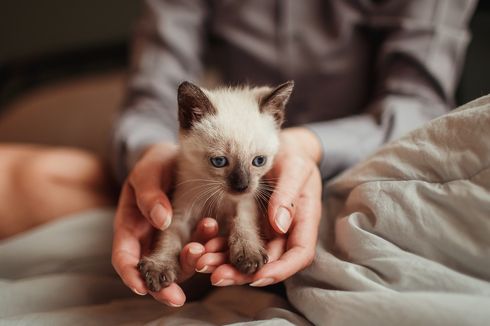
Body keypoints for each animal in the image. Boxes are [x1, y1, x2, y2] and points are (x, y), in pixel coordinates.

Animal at [136, 80, 292, 292]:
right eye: (219, 161)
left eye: (259, 161)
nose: (241, 186)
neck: (218, 198)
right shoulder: (181, 212)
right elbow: (169, 238)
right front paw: (159, 266)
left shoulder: (245, 202)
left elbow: (244, 222)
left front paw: (248, 253)